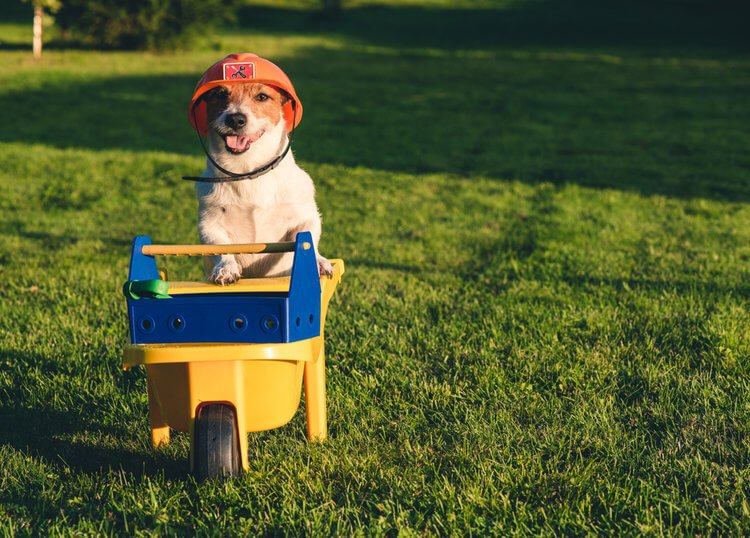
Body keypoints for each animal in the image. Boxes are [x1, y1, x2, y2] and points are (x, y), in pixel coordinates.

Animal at [188, 52, 332, 282]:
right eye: (220, 94)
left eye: (262, 97)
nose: (235, 119)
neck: (248, 171)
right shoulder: (210, 222)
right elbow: (220, 245)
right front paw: (226, 267)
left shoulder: (305, 214)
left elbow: (308, 237)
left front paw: (318, 261)